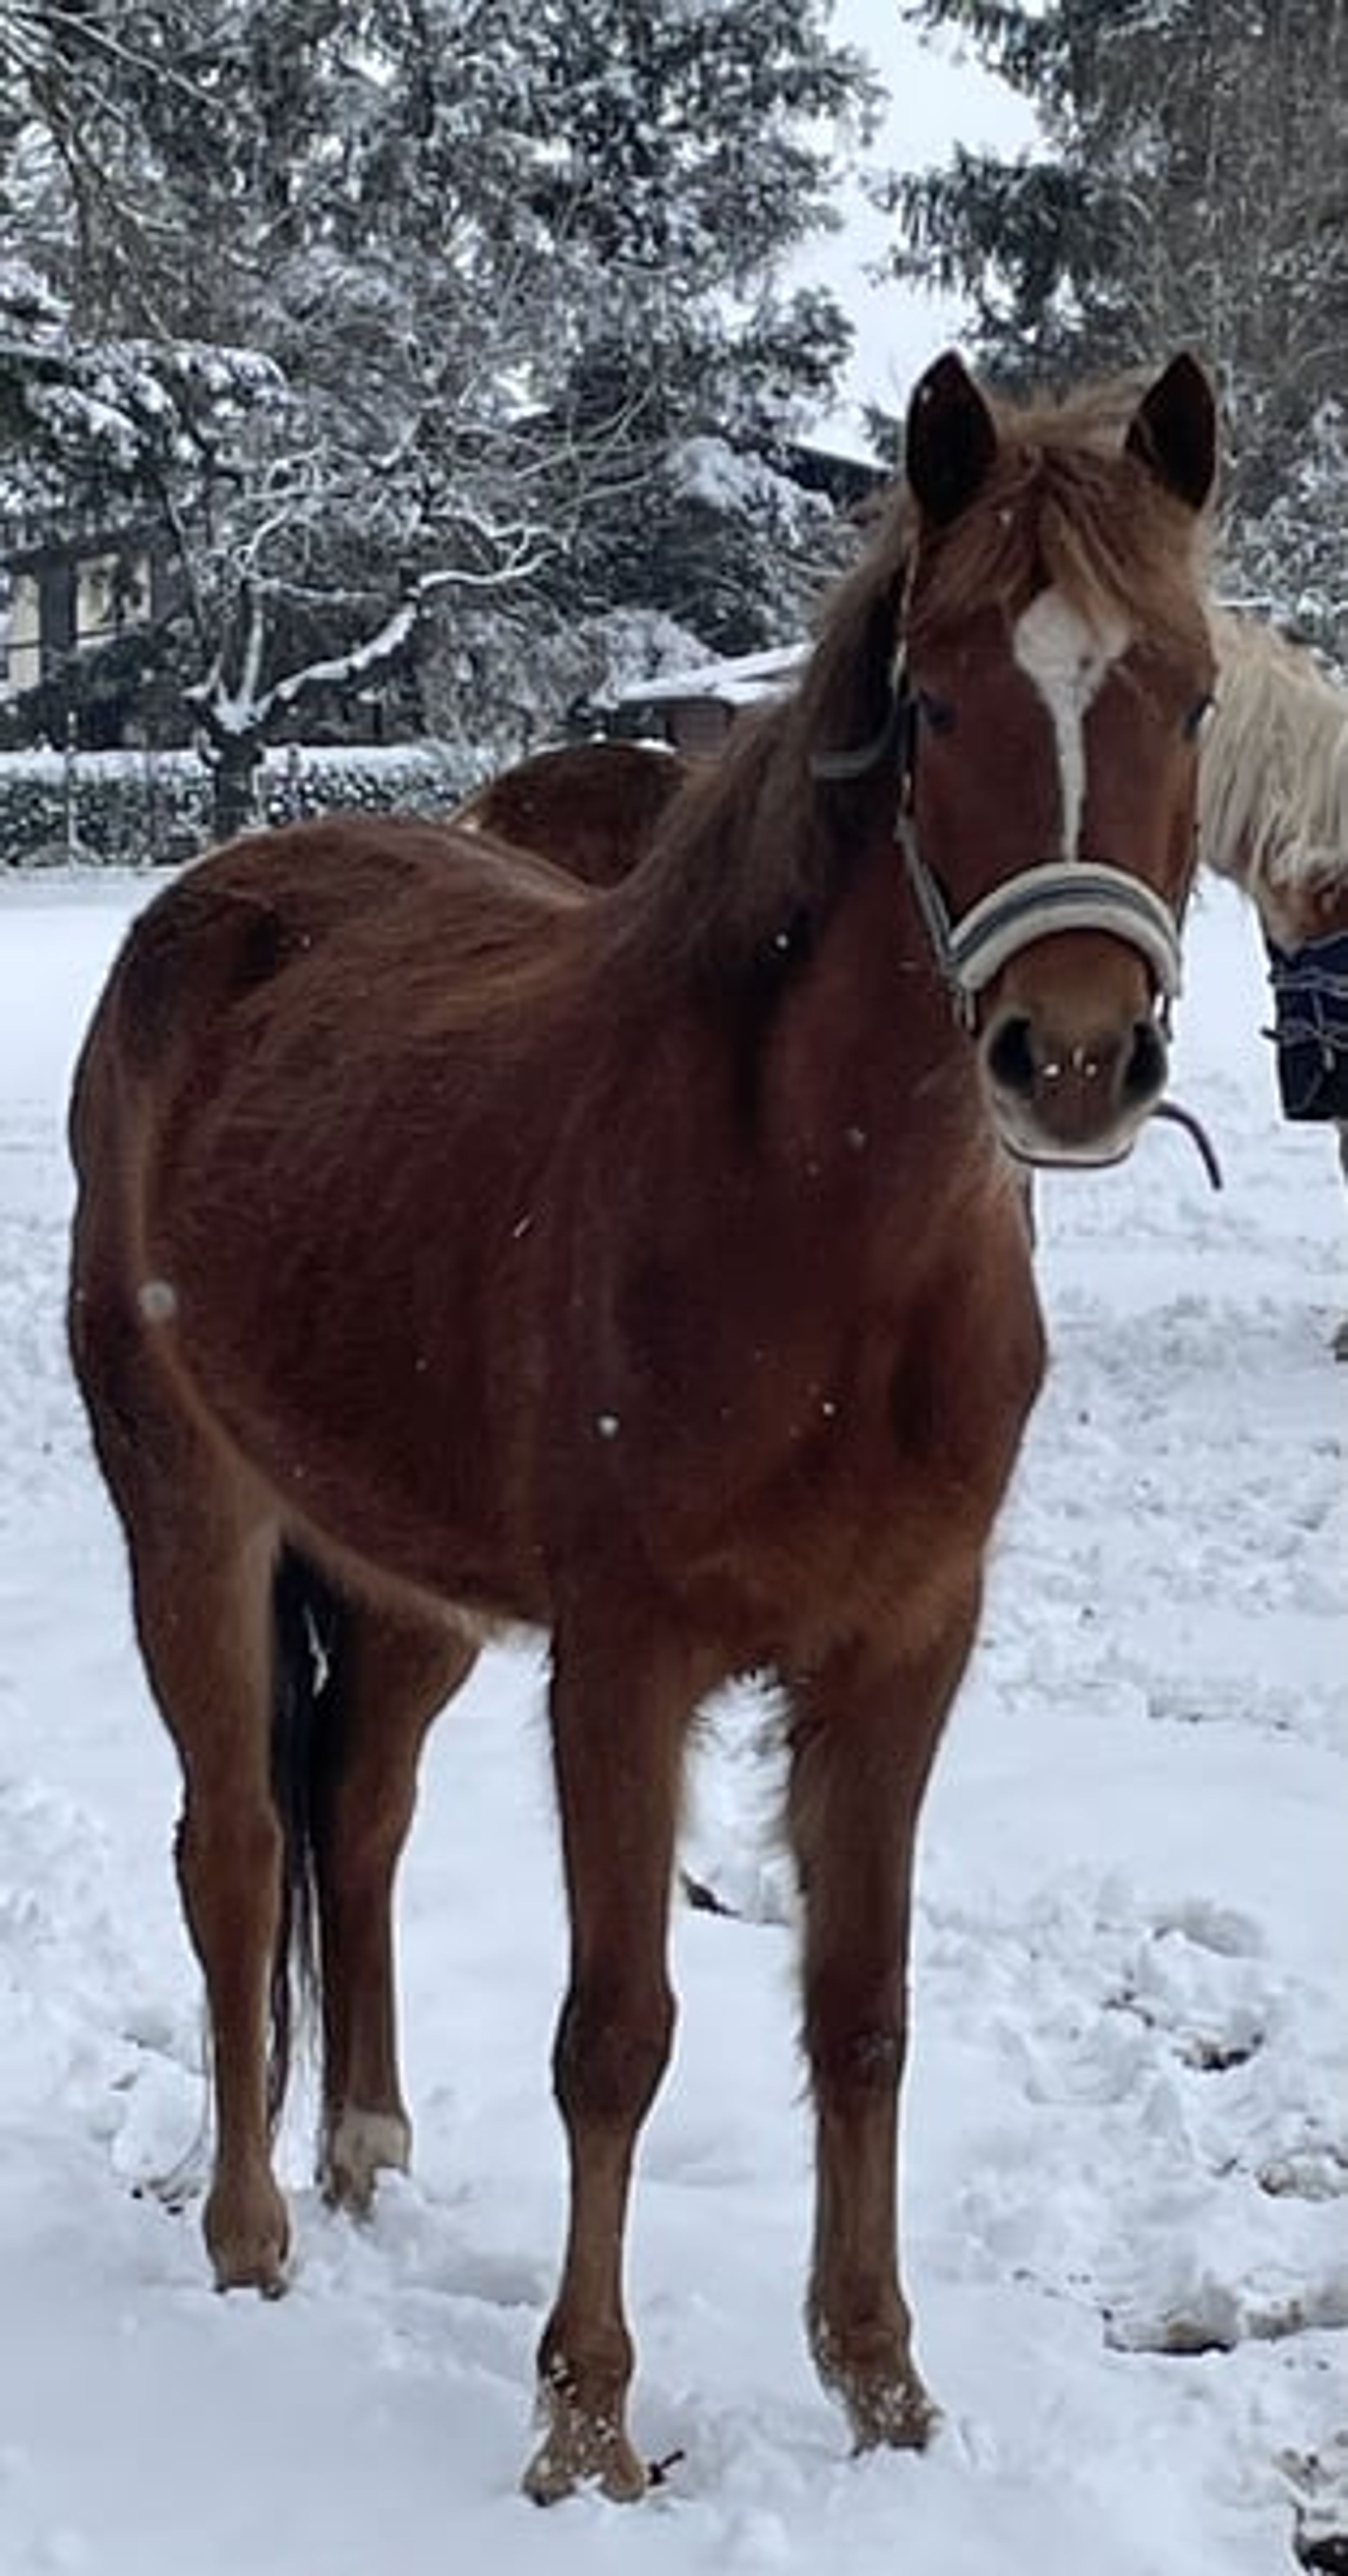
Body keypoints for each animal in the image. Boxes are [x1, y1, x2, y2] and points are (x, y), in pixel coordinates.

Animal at [67, 348, 1217, 2503]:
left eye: (1186, 692)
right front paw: (583, 2422)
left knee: (359, 1808)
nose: (1075, 1055)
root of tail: (213, 903)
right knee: (241, 1844)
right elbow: (614, 2028)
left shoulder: (901, 1651)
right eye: (941, 702)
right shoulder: (625, 1657)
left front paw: (882, 2393)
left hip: (409, 1583)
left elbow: (860, 2010)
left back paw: (366, 2154)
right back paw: (252, 2232)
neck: (808, 1231)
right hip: (191, 1514)